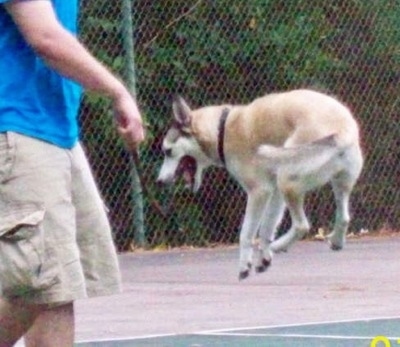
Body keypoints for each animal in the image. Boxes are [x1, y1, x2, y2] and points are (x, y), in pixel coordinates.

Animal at [156, 89, 362, 280]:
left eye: (167, 151)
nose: (159, 181)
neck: (221, 130)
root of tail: (343, 132)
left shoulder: (258, 192)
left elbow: (246, 234)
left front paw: (244, 266)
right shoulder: (274, 193)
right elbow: (266, 228)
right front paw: (264, 258)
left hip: (287, 180)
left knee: (302, 225)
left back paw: (279, 245)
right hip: (337, 185)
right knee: (344, 217)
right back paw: (336, 241)